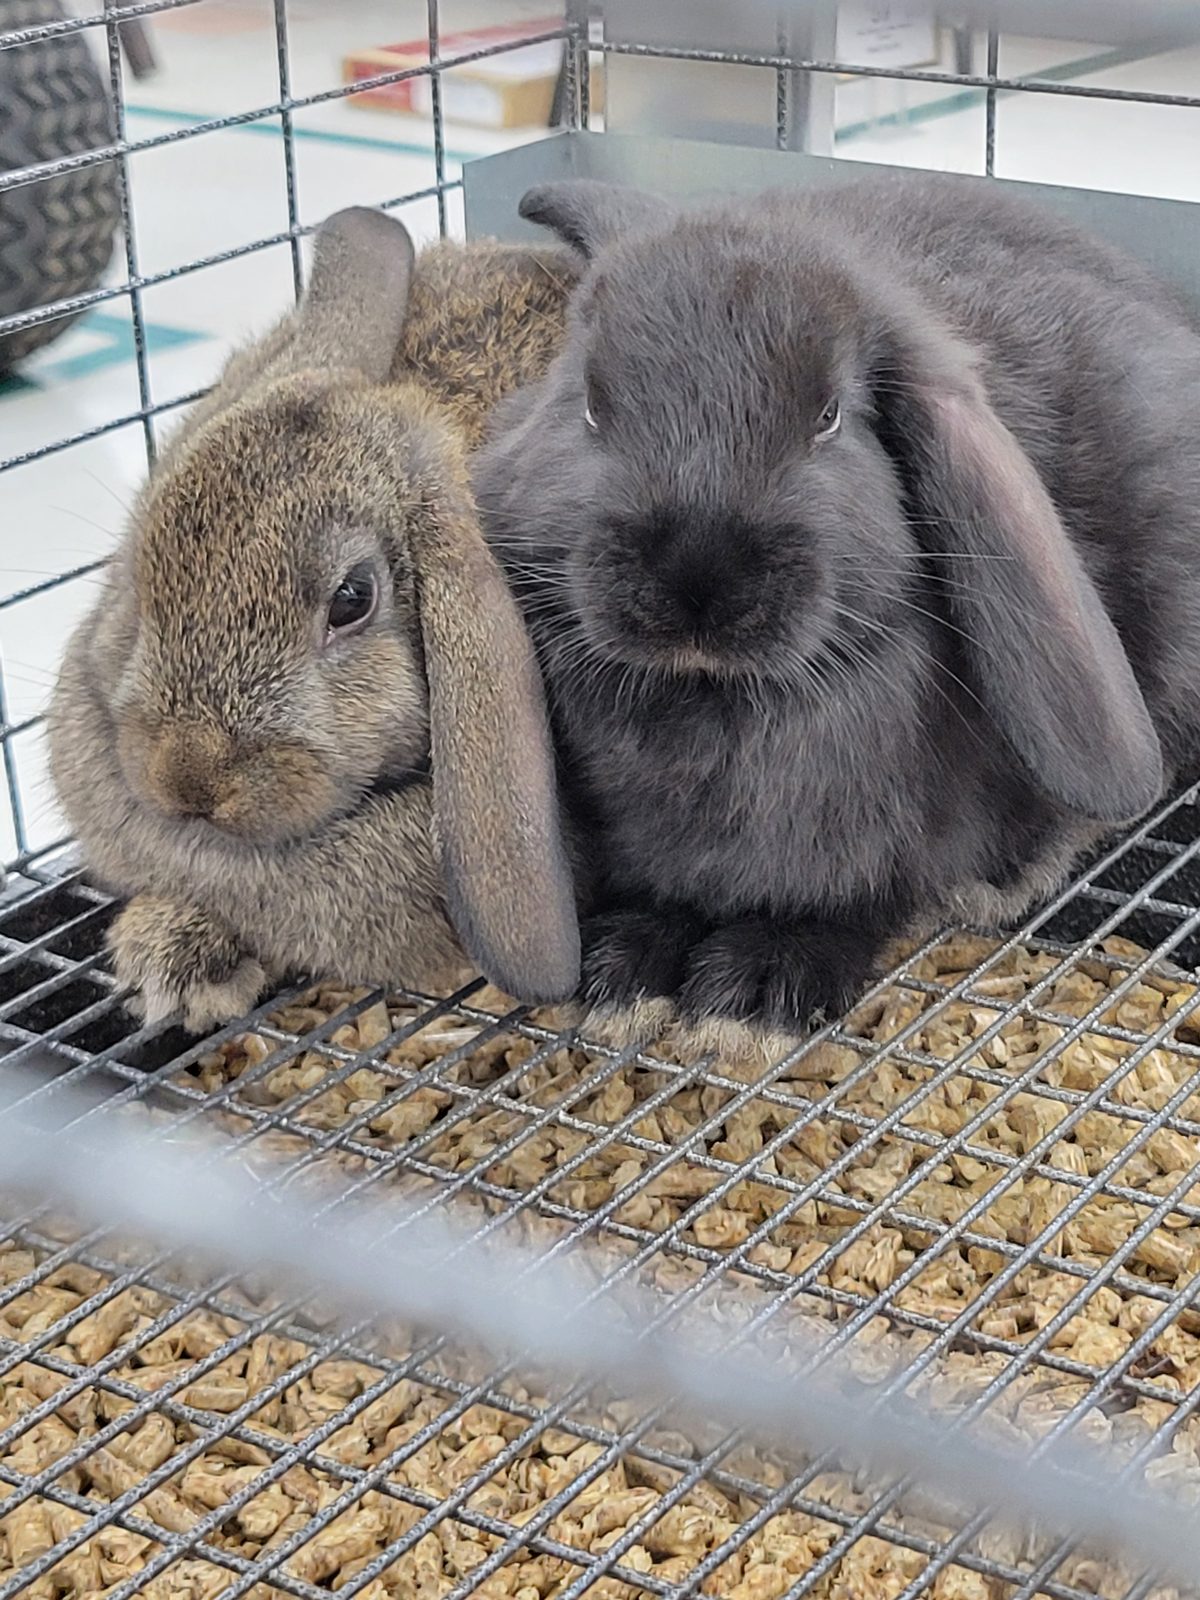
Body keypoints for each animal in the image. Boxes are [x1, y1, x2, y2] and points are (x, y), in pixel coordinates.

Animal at [472, 171, 1200, 1050]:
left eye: (829, 417)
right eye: (586, 402)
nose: (696, 583)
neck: (710, 699)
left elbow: (857, 899)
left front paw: (753, 991)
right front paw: (623, 972)